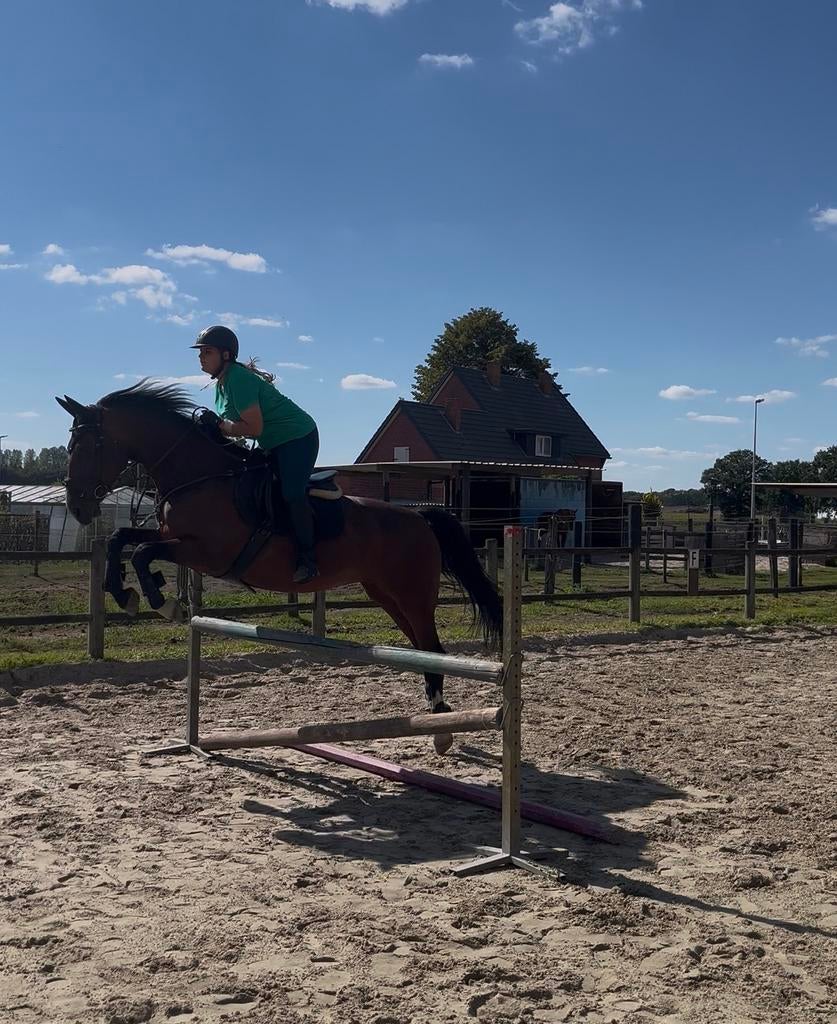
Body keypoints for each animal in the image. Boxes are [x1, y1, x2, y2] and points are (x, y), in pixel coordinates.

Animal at [56, 379, 502, 754]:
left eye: (87, 445)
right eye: (70, 445)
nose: (77, 507)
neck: (198, 476)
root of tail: (420, 517)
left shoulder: (207, 554)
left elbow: (142, 552)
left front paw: (161, 600)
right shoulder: (174, 540)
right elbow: (121, 540)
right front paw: (125, 594)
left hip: (411, 595)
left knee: (434, 650)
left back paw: (442, 729)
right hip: (387, 596)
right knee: (424, 651)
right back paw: (438, 719)